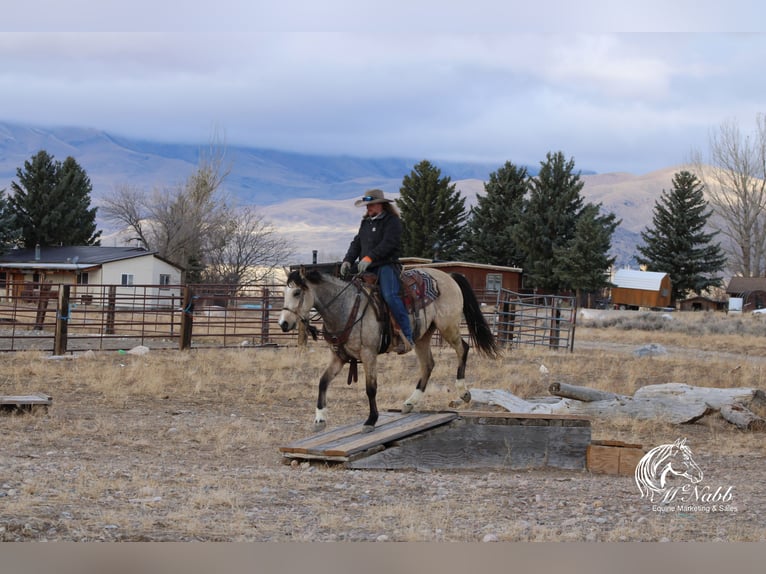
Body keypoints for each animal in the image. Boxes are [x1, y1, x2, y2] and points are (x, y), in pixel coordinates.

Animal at [280, 268, 500, 434]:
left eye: (297, 293)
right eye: (284, 293)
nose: (283, 324)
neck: (347, 308)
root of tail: (448, 276)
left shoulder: (369, 355)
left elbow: (371, 388)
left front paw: (371, 420)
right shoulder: (338, 357)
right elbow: (323, 382)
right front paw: (320, 418)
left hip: (448, 326)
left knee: (463, 349)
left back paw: (463, 392)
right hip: (422, 336)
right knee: (428, 364)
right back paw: (410, 402)